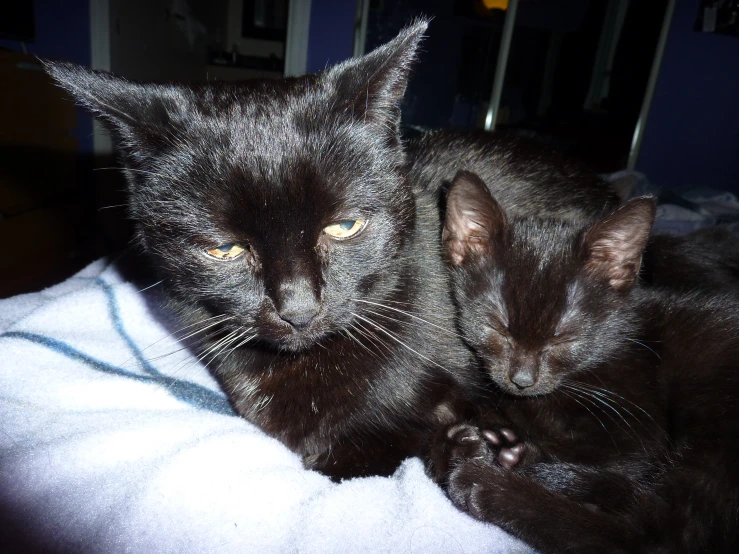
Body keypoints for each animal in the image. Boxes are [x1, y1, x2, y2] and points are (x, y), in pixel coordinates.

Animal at [430, 170, 739, 548]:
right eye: (496, 326)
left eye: (563, 336)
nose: (522, 379)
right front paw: (472, 439)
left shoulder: (636, 427)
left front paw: (503, 451)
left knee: (653, 530)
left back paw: (487, 485)